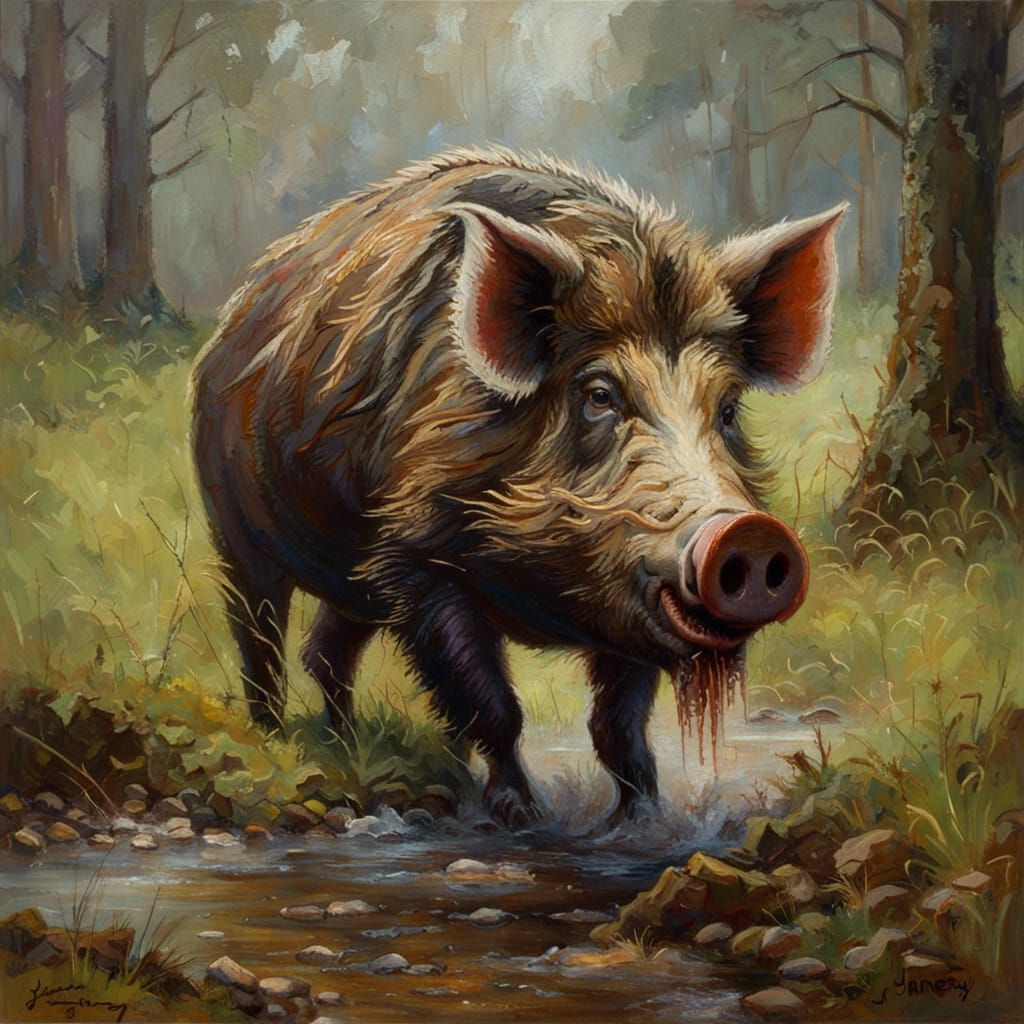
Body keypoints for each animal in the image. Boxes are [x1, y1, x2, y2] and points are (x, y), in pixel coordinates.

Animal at [191, 147, 844, 827]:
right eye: (599, 394)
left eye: (729, 407)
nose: (747, 533)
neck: (543, 594)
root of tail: (230, 322)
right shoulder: (417, 559)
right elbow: (494, 707)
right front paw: (520, 817)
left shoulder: (624, 594)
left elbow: (618, 727)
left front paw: (639, 820)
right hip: (234, 526)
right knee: (260, 637)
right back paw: (276, 739)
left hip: (352, 580)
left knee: (325, 651)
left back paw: (347, 744)